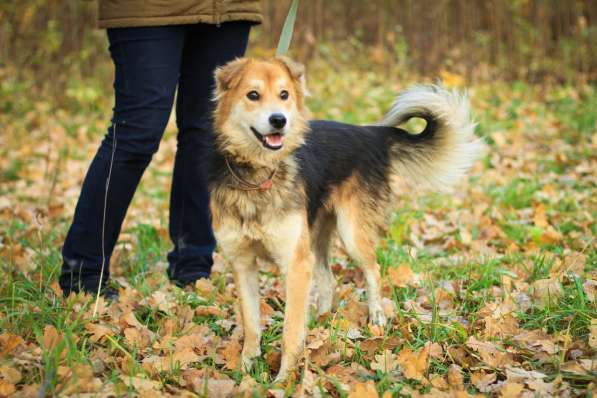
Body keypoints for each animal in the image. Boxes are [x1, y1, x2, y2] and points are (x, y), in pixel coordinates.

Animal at [207, 54, 482, 380]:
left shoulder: (295, 263)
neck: (257, 176)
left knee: (373, 270)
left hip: (351, 234)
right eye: (253, 95)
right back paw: (322, 320)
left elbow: (290, 330)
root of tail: (370, 132)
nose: (279, 120)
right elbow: (251, 324)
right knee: (328, 280)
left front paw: (283, 379)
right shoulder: (243, 263)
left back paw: (376, 318)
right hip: (313, 237)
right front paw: (246, 370)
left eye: (284, 95)